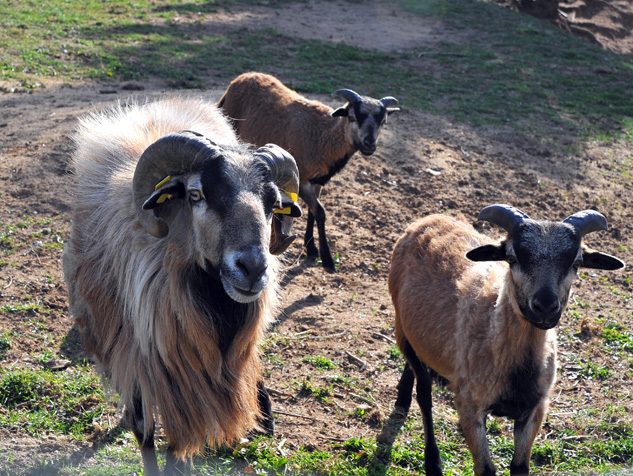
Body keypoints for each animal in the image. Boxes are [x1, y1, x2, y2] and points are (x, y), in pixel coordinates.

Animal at [63, 97, 300, 476]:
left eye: (273, 203)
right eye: (195, 194)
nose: (253, 268)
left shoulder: (192, 384)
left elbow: (178, 450)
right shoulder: (140, 361)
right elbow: (144, 433)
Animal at [217, 70, 396, 272]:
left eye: (383, 121)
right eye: (352, 117)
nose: (369, 144)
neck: (325, 137)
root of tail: (240, 78)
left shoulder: (317, 181)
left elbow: (312, 211)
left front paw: (311, 248)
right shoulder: (302, 180)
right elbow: (320, 212)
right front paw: (327, 259)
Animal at [388, 205, 624, 476]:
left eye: (576, 262)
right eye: (512, 257)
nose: (545, 307)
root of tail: (428, 219)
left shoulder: (535, 410)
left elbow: (520, 467)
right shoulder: (469, 407)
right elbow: (486, 470)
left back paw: (402, 399)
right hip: (400, 326)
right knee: (424, 393)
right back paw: (432, 462)